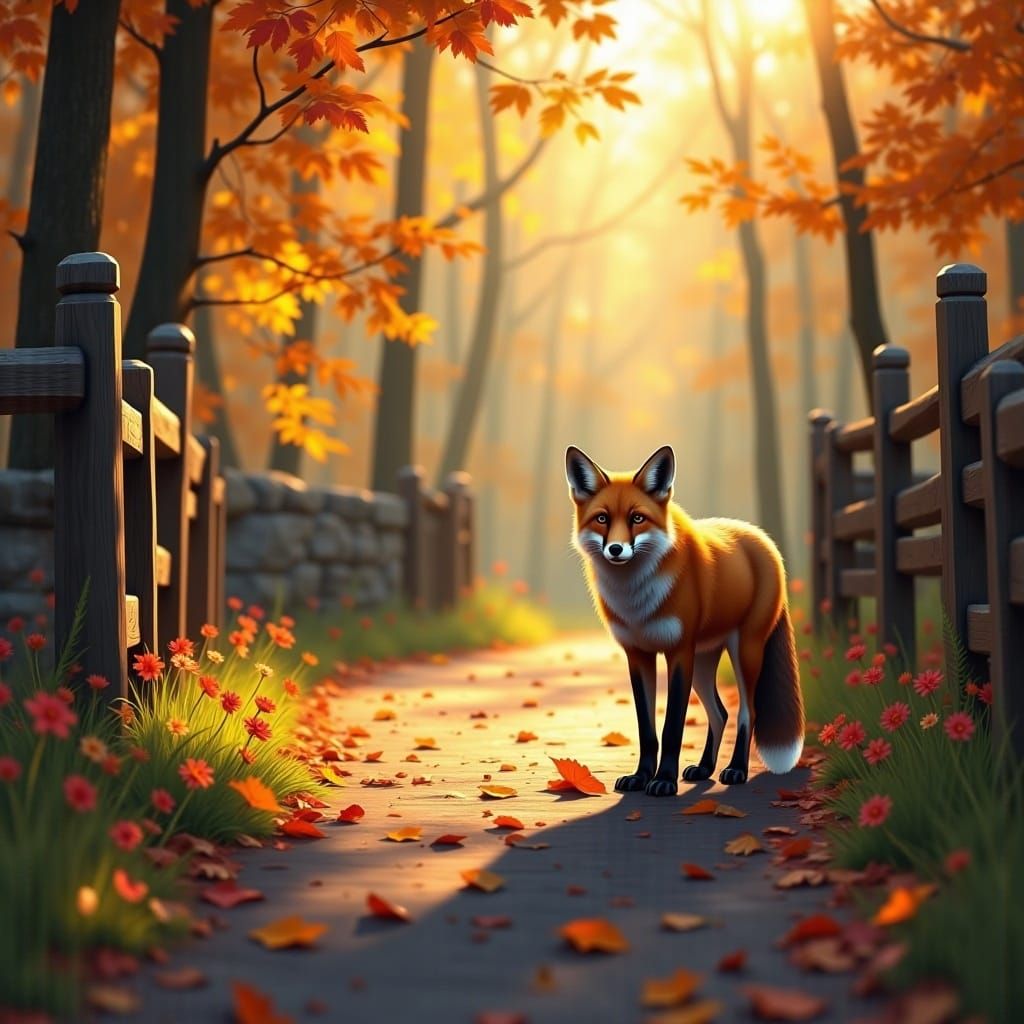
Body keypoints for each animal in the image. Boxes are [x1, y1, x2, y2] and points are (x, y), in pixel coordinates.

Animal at [565, 444, 804, 796]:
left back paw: (736, 769)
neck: (635, 600)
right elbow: (647, 730)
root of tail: (763, 538)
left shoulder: (679, 651)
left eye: (637, 518)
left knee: (748, 712)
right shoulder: (638, 654)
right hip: (704, 661)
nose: (616, 549)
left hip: (744, 650)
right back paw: (704, 768)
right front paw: (641, 777)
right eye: (602, 519)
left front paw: (664, 780)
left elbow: (671, 728)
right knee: (720, 713)